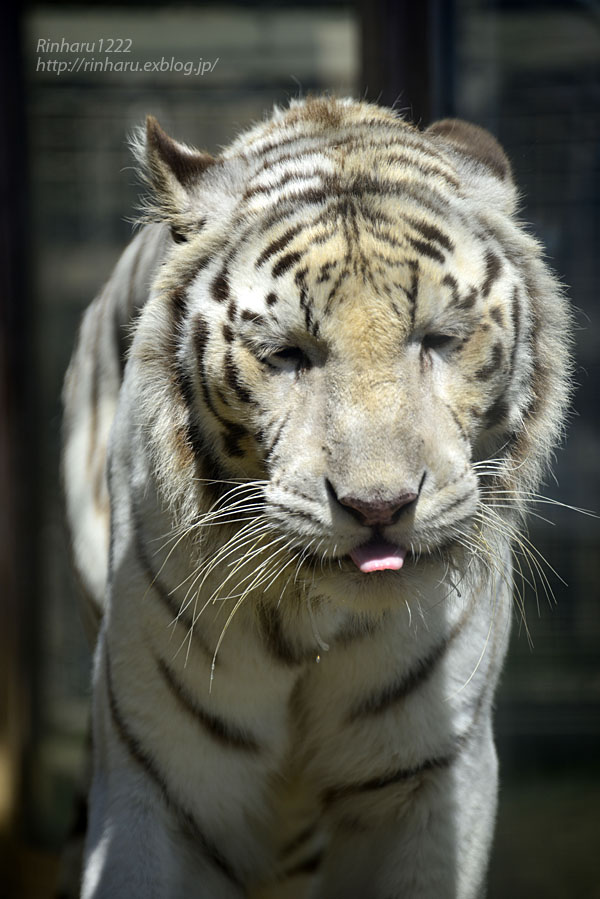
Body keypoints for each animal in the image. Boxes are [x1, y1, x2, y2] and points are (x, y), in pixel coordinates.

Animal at [61, 95, 572, 896]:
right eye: (286, 354)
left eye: (439, 339)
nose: (378, 506)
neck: (308, 625)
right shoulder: (159, 778)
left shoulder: (431, 778)